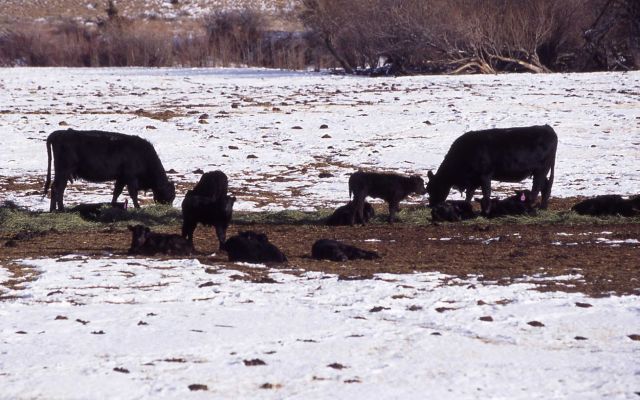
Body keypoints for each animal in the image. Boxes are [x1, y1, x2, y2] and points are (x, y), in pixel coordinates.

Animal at [43, 129, 175, 211]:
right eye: (171, 195)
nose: (169, 207)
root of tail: (58, 133)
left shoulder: (121, 178)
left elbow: (116, 192)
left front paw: (113, 205)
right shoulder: (131, 177)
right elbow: (133, 193)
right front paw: (138, 207)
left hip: (62, 173)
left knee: (56, 188)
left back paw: (53, 209)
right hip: (63, 171)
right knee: (58, 188)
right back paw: (60, 209)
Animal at [426, 125, 557, 215]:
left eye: (433, 188)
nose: (432, 205)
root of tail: (547, 128)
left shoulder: (485, 175)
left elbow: (486, 193)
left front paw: (486, 211)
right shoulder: (474, 179)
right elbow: (469, 194)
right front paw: (467, 207)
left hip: (541, 170)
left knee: (536, 189)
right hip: (540, 171)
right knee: (546, 187)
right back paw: (543, 207)